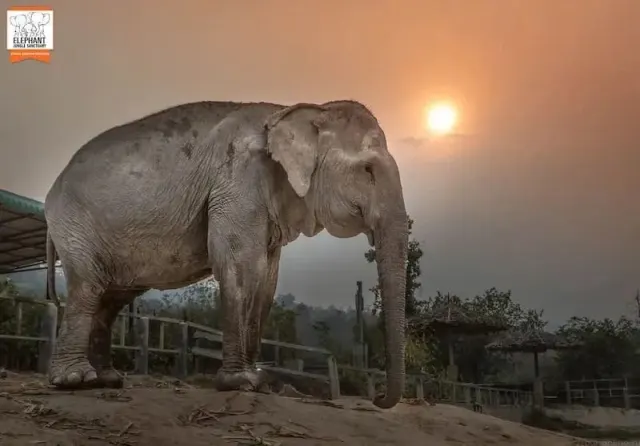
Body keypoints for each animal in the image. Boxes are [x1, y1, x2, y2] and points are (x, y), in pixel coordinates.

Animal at [44, 100, 408, 409]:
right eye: (368, 170)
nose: (376, 398)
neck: (300, 110)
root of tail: (53, 188)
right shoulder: (238, 181)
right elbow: (241, 264)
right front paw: (241, 382)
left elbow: (267, 280)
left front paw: (258, 381)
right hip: (75, 224)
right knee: (89, 287)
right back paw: (76, 380)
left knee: (112, 296)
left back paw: (107, 379)